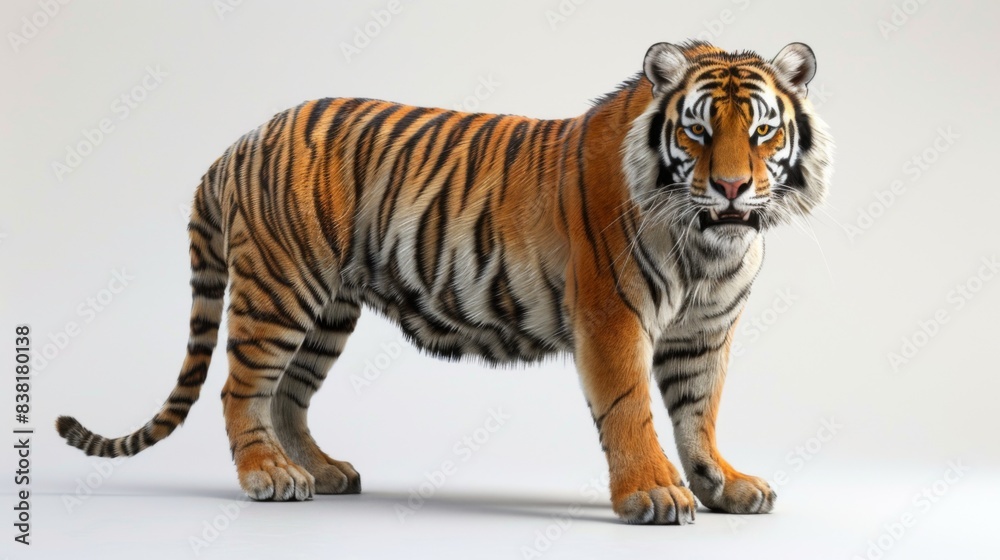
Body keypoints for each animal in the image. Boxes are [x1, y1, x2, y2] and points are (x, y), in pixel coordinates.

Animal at [56, 40, 833, 525]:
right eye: (698, 132)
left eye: (761, 133)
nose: (732, 187)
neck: (712, 243)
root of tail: (239, 142)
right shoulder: (612, 315)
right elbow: (632, 409)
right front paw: (654, 493)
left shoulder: (704, 332)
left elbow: (700, 412)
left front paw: (723, 484)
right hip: (280, 291)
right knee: (241, 388)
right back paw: (266, 477)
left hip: (327, 311)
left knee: (287, 396)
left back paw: (321, 472)